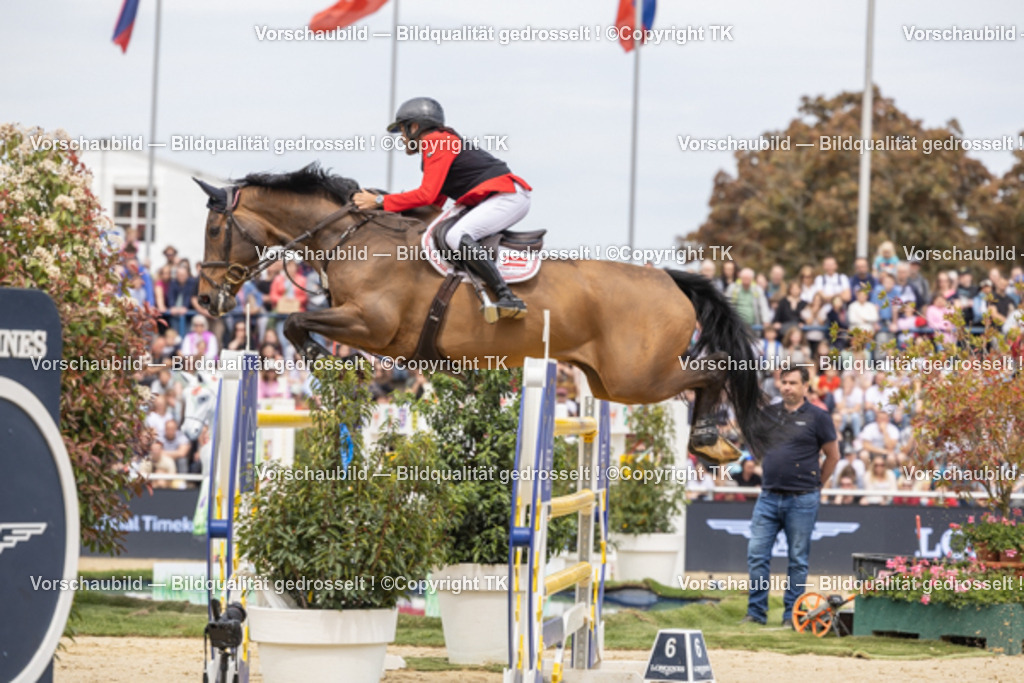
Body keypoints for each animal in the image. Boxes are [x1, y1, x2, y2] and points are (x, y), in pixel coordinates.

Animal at [194, 164, 772, 463]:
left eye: (215, 230)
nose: (202, 299)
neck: (350, 238)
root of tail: (669, 278)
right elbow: (301, 325)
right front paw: (341, 370)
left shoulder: (374, 327)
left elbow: (297, 323)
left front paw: (333, 367)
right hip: (608, 382)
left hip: (637, 377)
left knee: (716, 368)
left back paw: (710, 440)